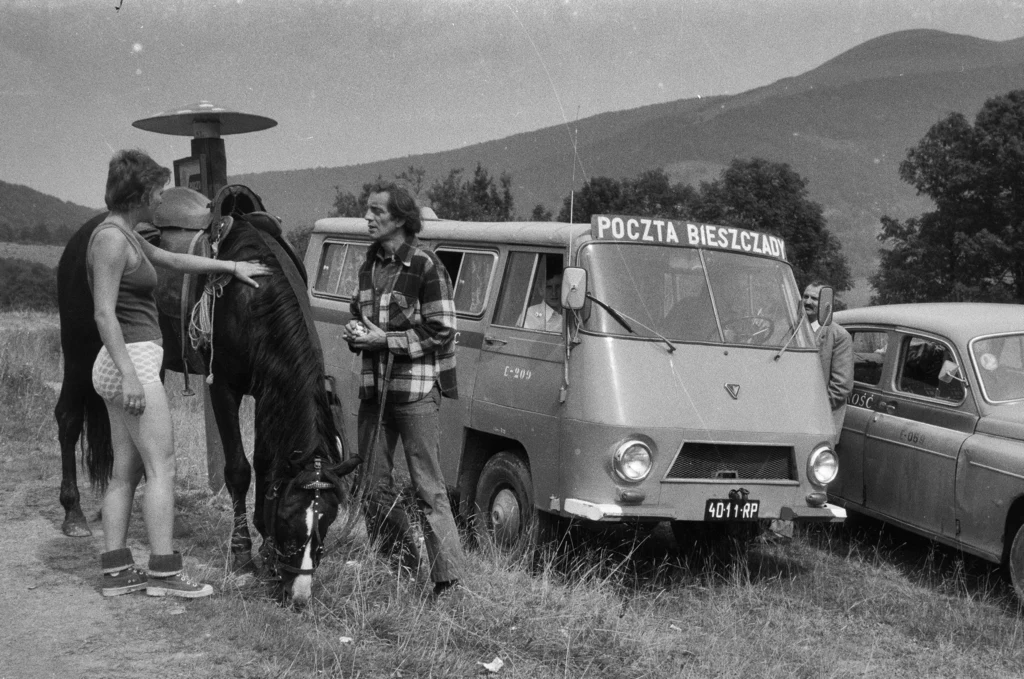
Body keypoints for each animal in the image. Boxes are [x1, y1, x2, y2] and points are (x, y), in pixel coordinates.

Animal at [55, 187, 352, 606]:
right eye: (290, 519)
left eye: (326, 521)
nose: (298, 594)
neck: (251, 296)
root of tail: (81, 237)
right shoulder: (223, 387)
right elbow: (239, 470)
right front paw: (243, 553)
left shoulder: (266, 390)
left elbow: (265, 464)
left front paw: (263, 547)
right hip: (79, 349)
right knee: (67, 419)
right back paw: (74, 513)